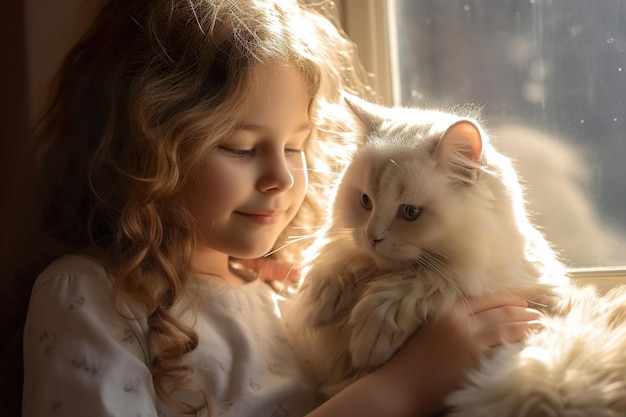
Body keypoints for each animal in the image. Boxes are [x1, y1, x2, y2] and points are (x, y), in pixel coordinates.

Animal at [286, 95, 624, 416]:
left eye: (411, 212)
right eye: (365, 202)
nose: (373, 237)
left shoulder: (485, 280)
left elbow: (423, 281)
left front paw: (371, 333)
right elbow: (337, 259)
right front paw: (319, 300)